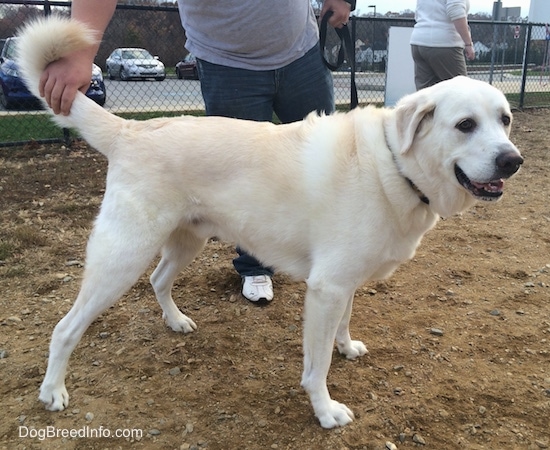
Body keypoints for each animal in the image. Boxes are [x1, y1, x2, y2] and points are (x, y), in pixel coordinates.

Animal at [17, 15, 528, 428]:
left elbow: (343, 326)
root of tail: (131, 130)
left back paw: (176, 321)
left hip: (185, 242)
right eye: (465, 125)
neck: (393, 164)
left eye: (504, 120)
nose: (513, 161)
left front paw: (347, 347)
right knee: (65, 328)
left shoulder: (343, 285)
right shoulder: (326, 289)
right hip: (122, 257)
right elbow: (316, 367)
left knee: (159, 280)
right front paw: (325, 411)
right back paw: (53, 391)